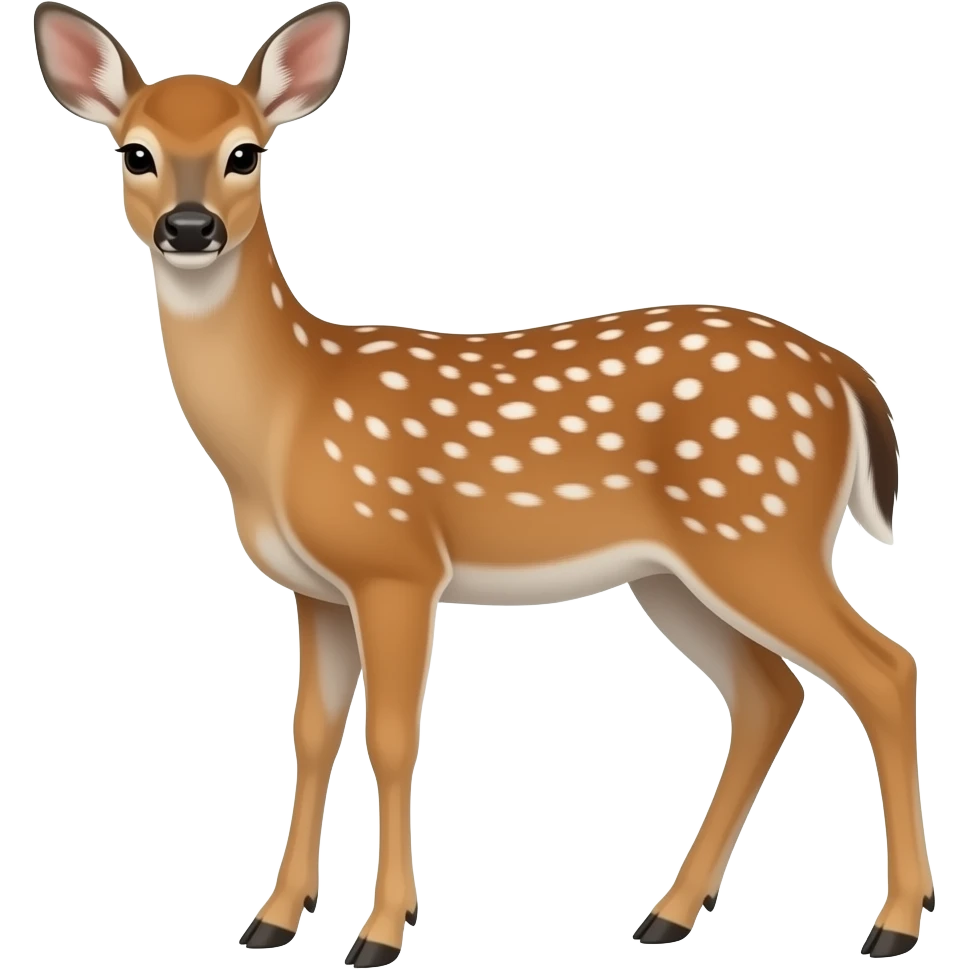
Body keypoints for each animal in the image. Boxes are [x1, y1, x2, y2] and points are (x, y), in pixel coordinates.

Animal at [33, 1, 932, 962]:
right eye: (135, 152)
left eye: (247, 152)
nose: (191, 227)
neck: (289, 413)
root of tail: (844, 373)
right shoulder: (317, 589)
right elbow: (309, 732)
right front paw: (272, 918)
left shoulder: (396, 562)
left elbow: (393, 738)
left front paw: (382, 931)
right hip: (674, 571)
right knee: (769, 693)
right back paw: (667, 913)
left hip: (760, 526)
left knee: (883, 668)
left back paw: (892, 923)